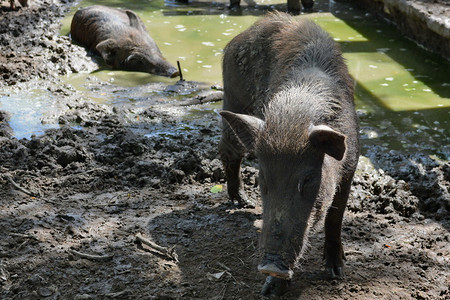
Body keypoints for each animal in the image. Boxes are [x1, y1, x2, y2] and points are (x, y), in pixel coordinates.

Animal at [220, 11, 360, 296]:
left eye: (307, 180)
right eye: (262, 178)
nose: (271, 266)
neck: (294, 118)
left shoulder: (351, 164)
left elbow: (335, 218)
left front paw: (336, 273)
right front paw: (269, 291)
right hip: (233, 100)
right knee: (228, 153)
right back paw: (241, 202)